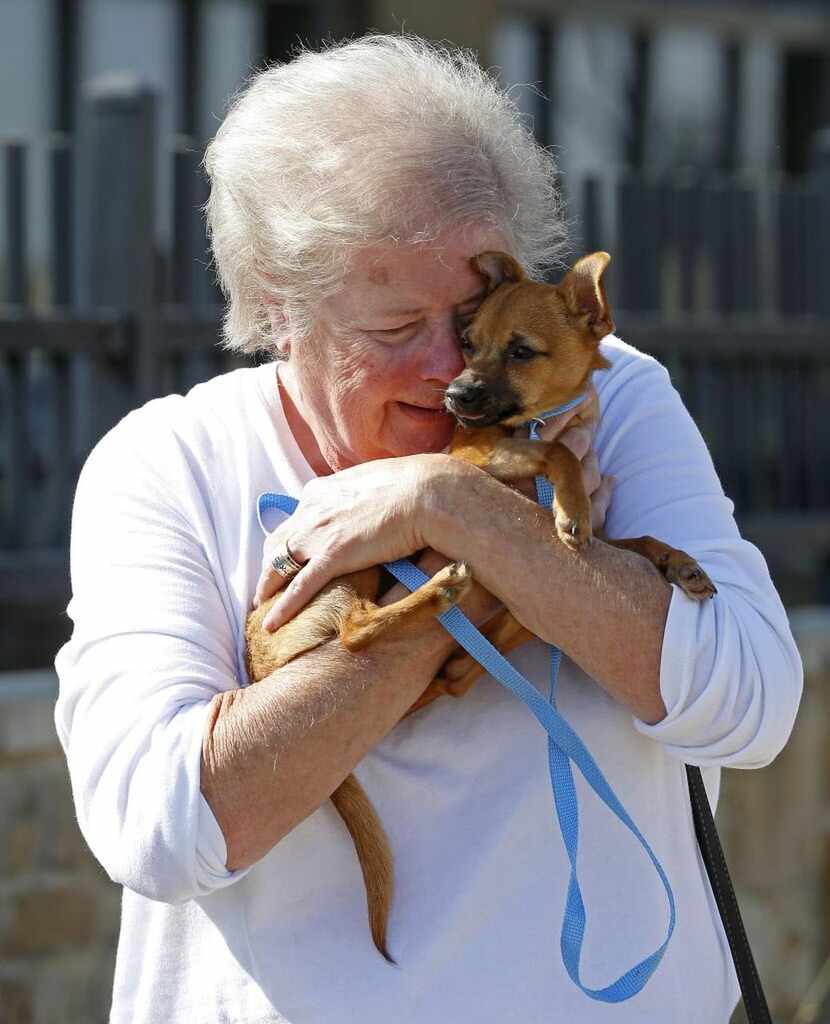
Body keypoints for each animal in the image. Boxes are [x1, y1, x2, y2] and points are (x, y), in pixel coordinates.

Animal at [243, 247, 716, 958]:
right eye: (467, 342)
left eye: (521, 351)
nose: (456, 395)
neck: (519, 424)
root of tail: (257, 667)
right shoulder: (479, 459)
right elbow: (555, 450)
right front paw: (569, 504)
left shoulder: (591, 527)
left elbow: (632, 541)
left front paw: (678, 561)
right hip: (350, 566)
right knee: (356, 630)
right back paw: (440, 590)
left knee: (449, 672)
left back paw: (466, 652)